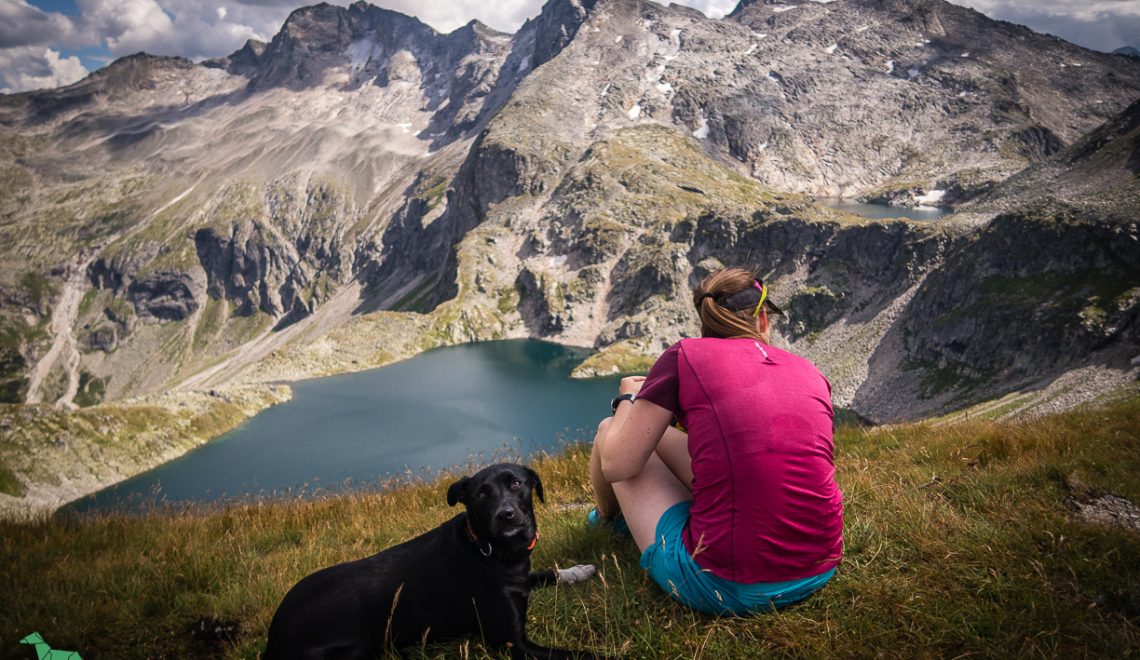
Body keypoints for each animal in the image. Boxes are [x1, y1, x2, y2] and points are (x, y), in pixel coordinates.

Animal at [264, 465, 606, 660]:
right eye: (481, 494)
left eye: (516, 484)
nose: (506, 515)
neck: (489, 549)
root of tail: (272, 636)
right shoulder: (512, 643)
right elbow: (584, 656)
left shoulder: (522, 581)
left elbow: (549, 572)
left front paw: (579, 570)